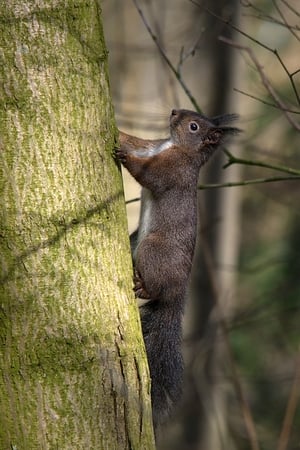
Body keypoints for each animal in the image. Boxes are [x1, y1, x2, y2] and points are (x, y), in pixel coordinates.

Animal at [115, 108, 239, 432]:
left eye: (194, 126)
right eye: (193, 117)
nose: (173, 112)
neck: (174, 145)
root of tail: (177, 293)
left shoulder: (174, 171)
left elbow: (151, 176)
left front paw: (124, 157)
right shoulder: (152, 146)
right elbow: (135, 140)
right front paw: (118, 133)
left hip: (153, 249)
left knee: (156, 288)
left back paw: (143, 287)